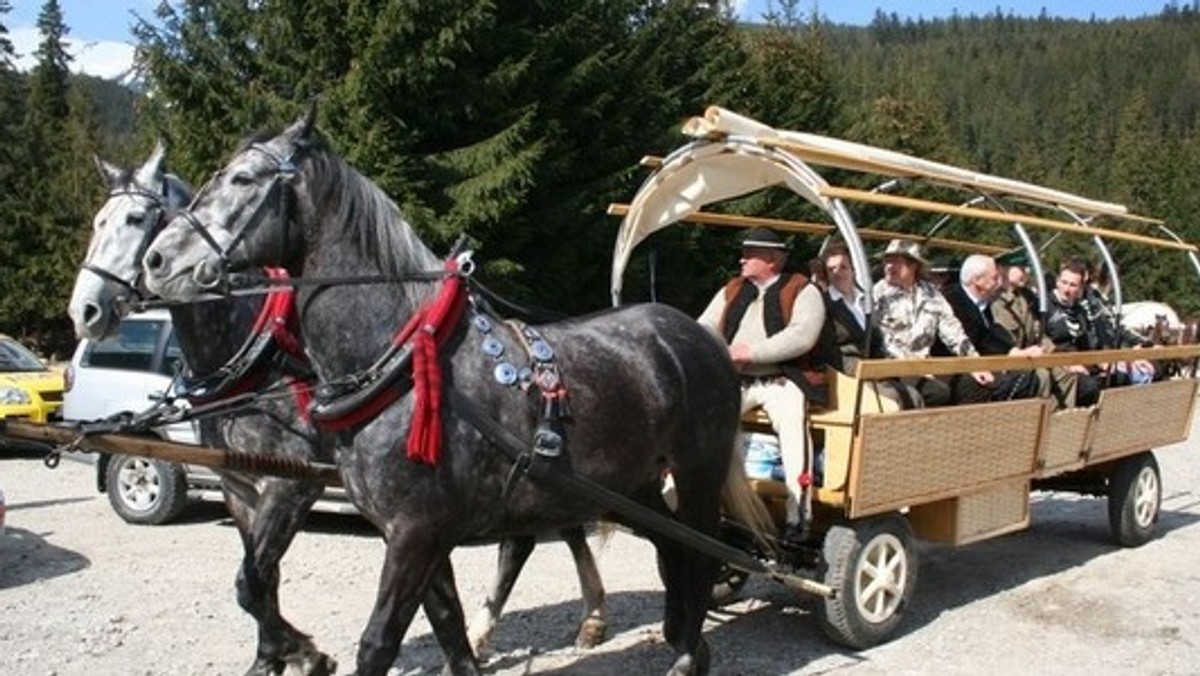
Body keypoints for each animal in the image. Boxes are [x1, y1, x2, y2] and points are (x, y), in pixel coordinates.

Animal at [69, 144, 600, 676]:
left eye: (136, 218)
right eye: (97, 222)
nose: (85, 311)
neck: (255, 350)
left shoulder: (291, 484)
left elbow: (253, 582)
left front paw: (306, 653)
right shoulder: (238, 485)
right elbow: (261, 580)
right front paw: (273, 657)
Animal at [138, 108, 758, 672]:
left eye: (243, 180)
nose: (158, 260)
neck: (399, 364)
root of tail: (694, 334)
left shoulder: (411, 533)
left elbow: (378, 643)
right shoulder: (416, 535)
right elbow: (449, 627)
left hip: (696, 472)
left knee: (700, 553)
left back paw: (686, 652)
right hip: (630, 485)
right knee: (671, 547)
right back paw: (679, 634)